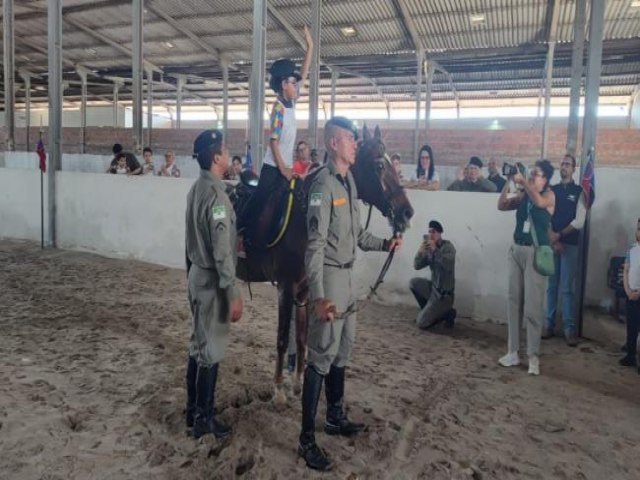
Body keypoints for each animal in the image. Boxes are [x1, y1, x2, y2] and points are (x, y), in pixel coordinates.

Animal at [236, 124, 416, 402]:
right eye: (379, 165)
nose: (407, 212)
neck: (302, 218)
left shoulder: (304, 291)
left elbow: (301, 338)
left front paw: (297, 385)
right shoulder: (285, 287)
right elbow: (282, 338)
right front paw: (278, 390)